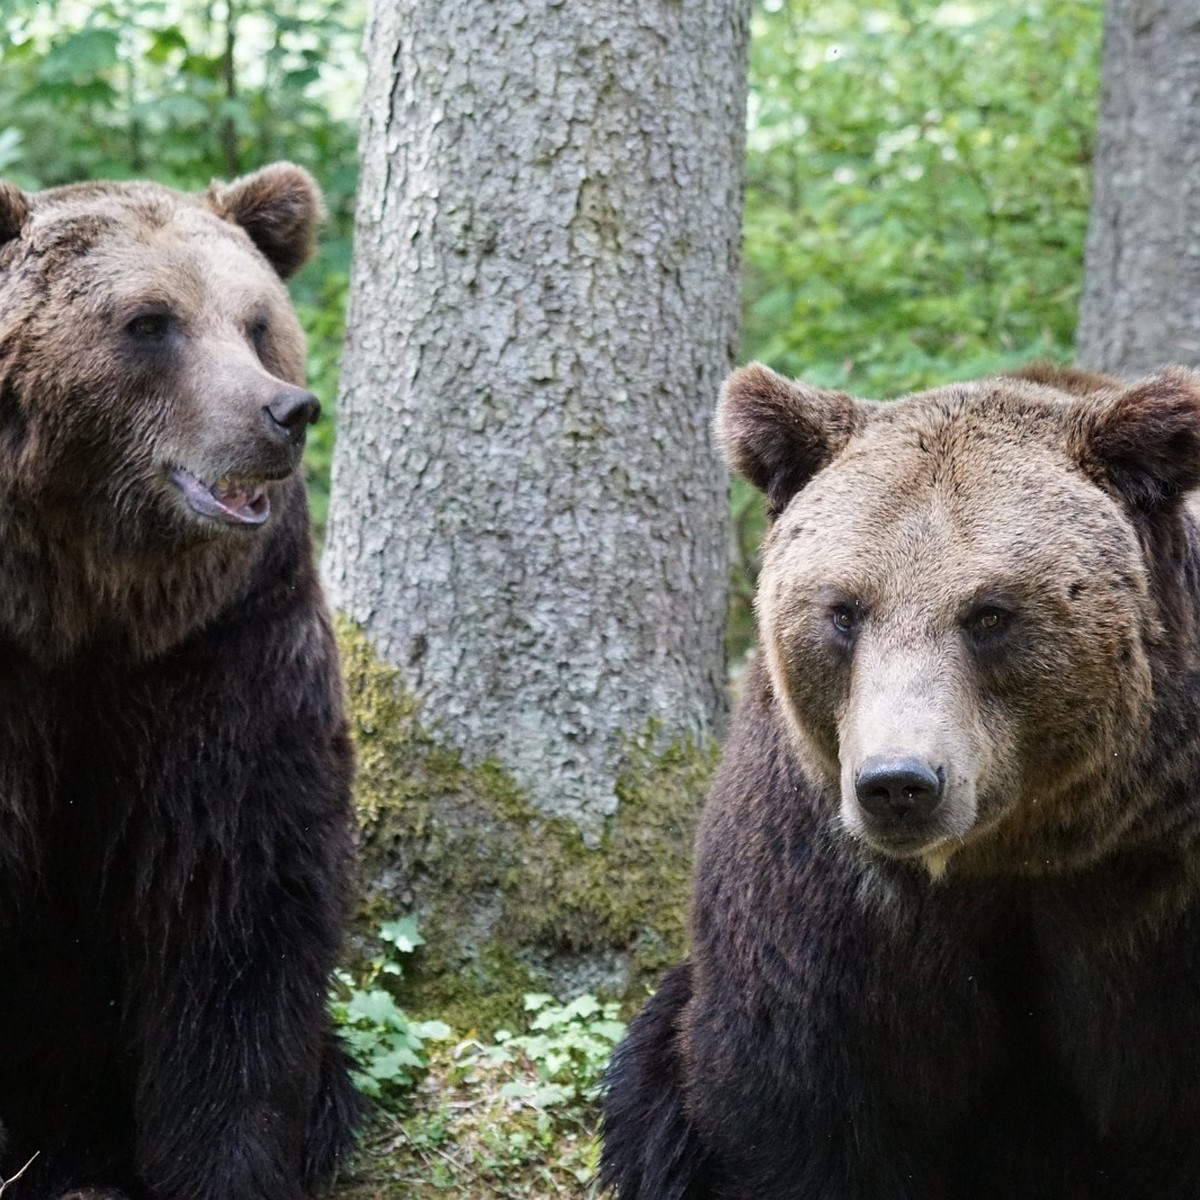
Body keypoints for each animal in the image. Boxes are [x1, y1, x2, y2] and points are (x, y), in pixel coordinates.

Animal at [0, 164, 360, 1195]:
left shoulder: (221, 654)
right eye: (150, 321)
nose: (286, 411)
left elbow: (231, 901)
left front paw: (228, 1164)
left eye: (256, 321)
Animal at [609, 362, 1200, 1200]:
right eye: (844, 609)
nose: (898, 783)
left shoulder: (1157, 888)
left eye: (990, 612)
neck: (1014, 855)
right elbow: (804, 1101)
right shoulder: (829, 888)